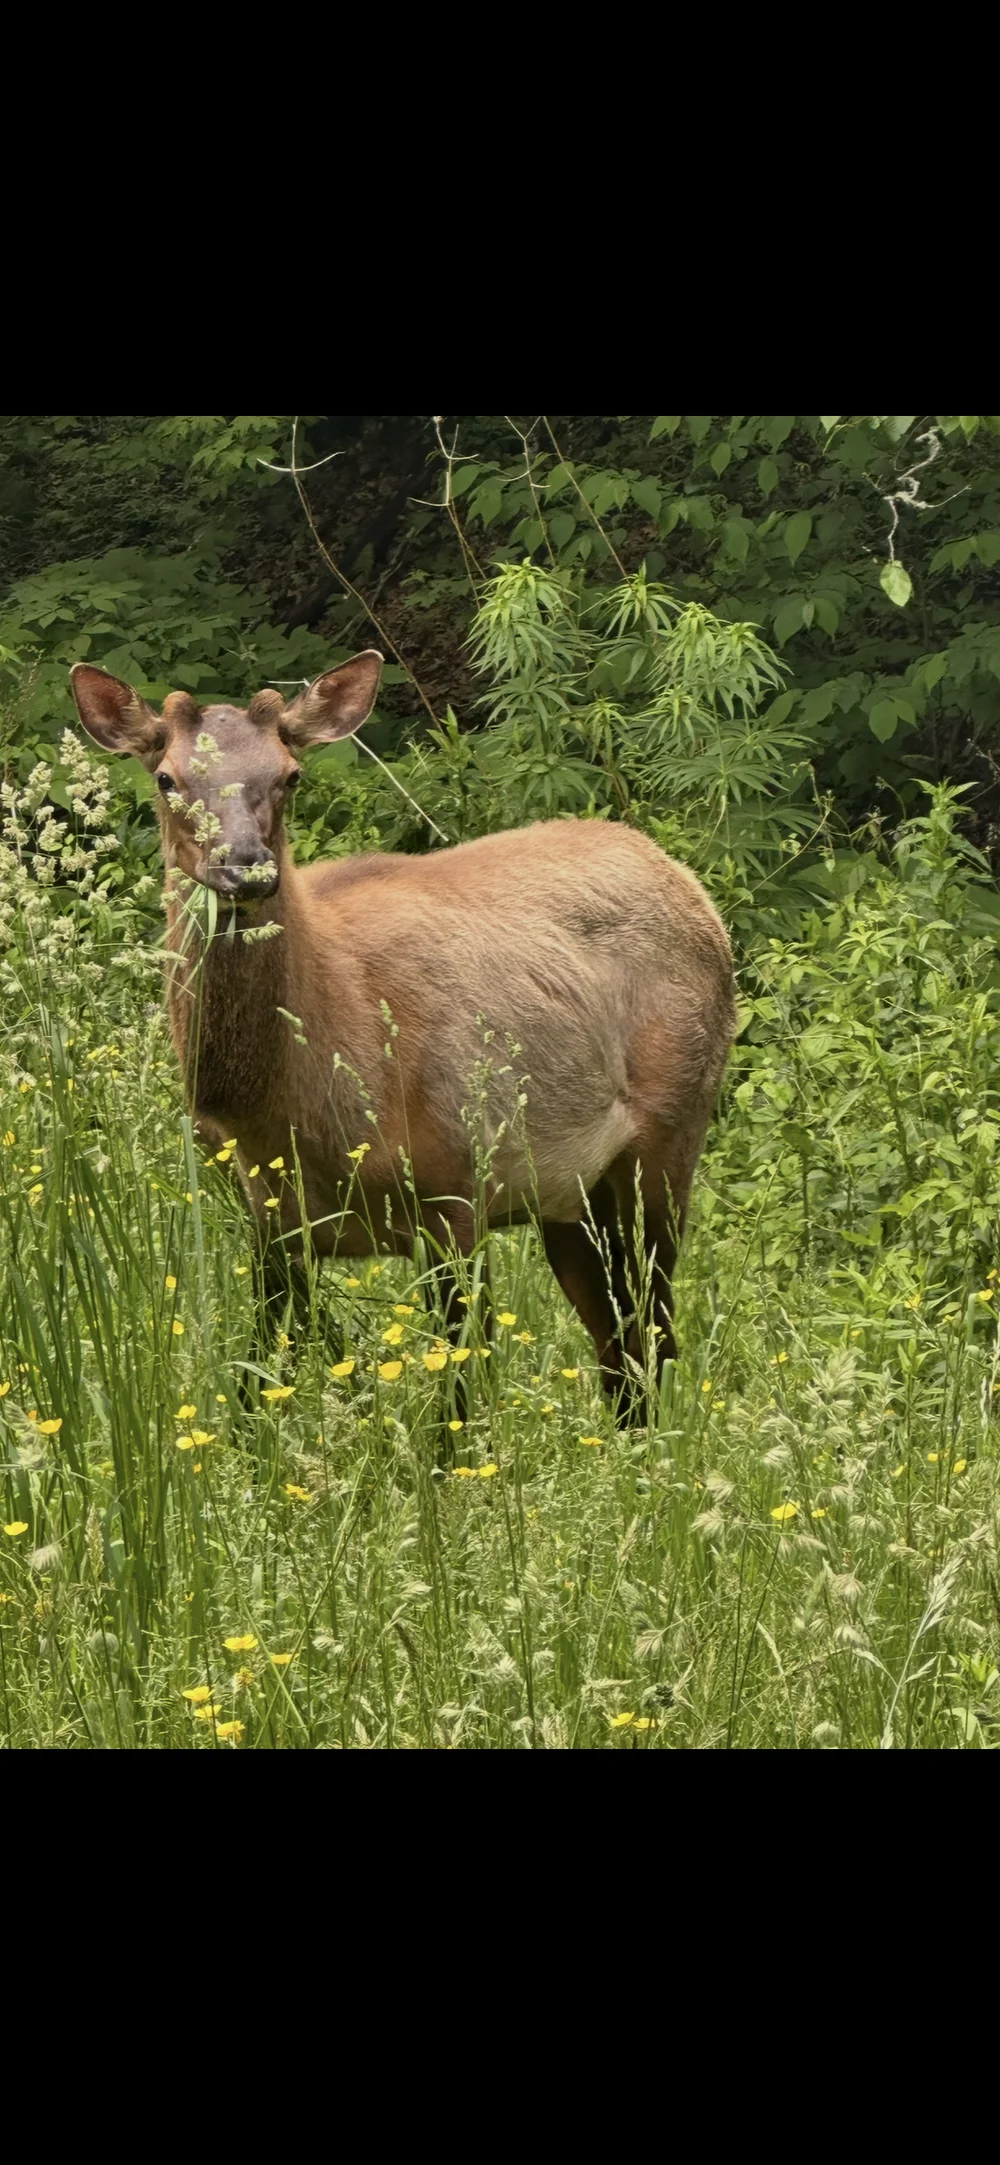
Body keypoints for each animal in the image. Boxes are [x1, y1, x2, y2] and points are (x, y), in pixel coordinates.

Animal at [70, 651, 737, 1422]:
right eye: (167, 776)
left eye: (290, 774)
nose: (246, 864)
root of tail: (683, 879)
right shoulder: (270, 1222)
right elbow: (255, 1386)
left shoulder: (459, 1186)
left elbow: (460, 1405)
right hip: (571, 1195)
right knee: (617, 1345)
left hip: (669, 1133)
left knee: (654, 1334)